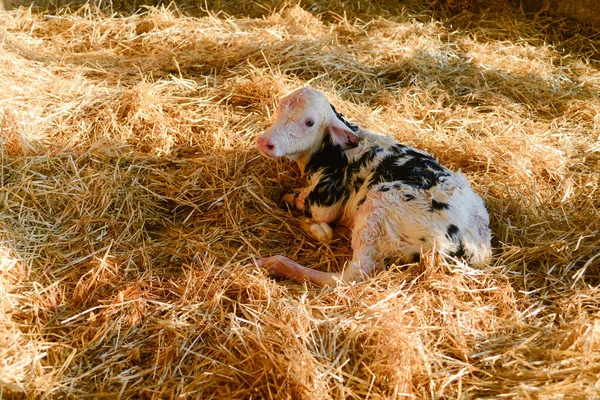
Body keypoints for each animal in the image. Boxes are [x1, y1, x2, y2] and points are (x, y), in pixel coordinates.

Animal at [255, 87, 490, 286]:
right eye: (280, 107)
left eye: (309, 122)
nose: (265, 141)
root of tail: (476, 245)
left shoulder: (324, 200)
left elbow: (301, 202)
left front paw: (303, 213)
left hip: (379, 205)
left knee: (353, 274)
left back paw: (278, 260)